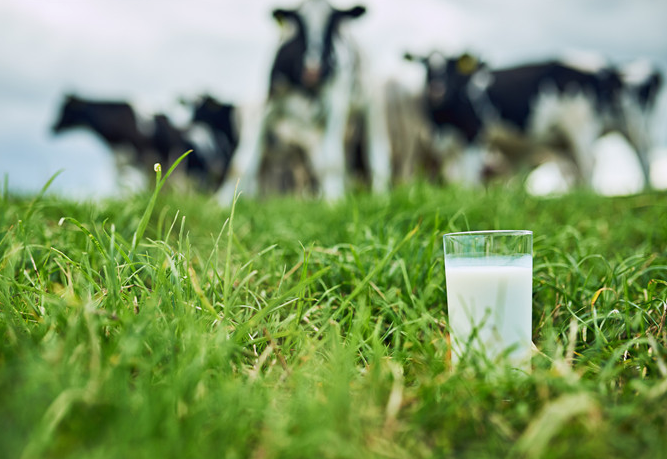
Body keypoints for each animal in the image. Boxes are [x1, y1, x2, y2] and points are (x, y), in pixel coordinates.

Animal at [218, 0, 392, 202]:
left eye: (332, 24)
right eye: (299, 25)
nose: (313, 71)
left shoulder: (336, 106)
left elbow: (332, 161)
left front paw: (335, 201)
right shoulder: (264, 108)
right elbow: (240, 164)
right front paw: (220, 201)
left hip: (372, 105)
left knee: (377, 152)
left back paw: (381, 195)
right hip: (313, 132)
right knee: (321, 163)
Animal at [402, 50, 664, 187]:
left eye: (450, 66)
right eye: (425, 66)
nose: (437, 90)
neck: (442, 119)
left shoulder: (473, 136)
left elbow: (468, 178)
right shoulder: (448, 145)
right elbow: (453, 177)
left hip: (595, 126)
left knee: (608, 160)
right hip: (566, 139)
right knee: (577, 169)